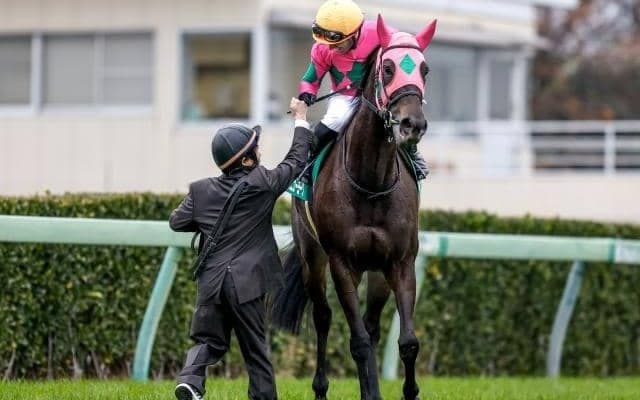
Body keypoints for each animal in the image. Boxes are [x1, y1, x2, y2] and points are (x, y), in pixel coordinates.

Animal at [272, 15, 436, 400]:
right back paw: (320, 387)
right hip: (313, 257)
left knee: (372, 326)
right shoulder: (341, 261)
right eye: (388, 69)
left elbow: (407, 342)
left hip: (374, 270)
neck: (372, 182)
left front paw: (404, 391)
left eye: (424, 69)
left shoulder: (400, 261)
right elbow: (357, 341)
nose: (413, 124)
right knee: (323, 317)